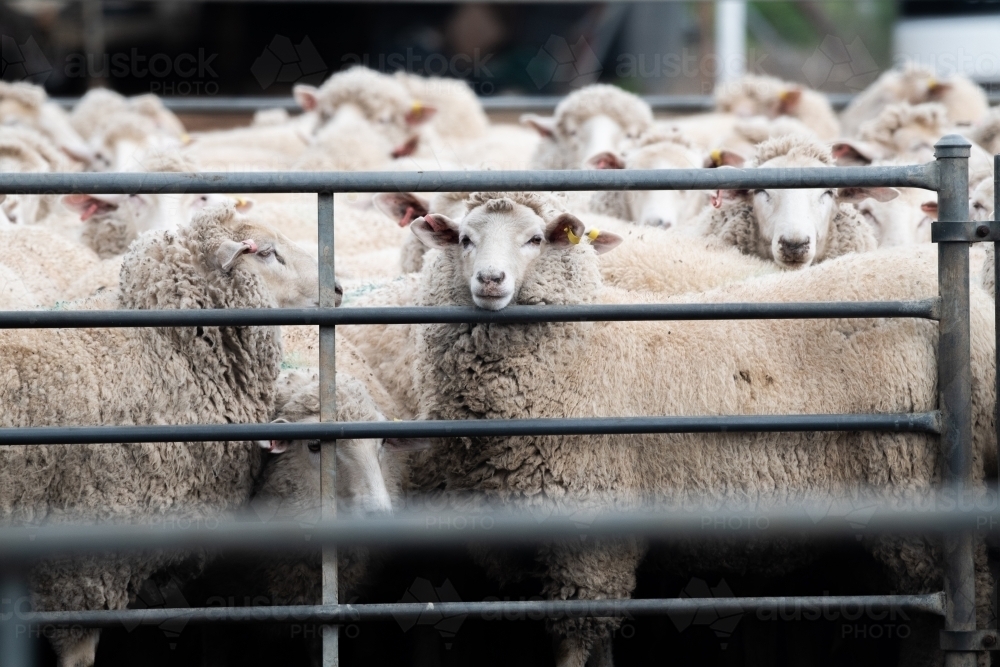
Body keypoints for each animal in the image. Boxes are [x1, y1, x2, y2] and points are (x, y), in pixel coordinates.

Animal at [407, 191, 995, 667]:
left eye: (534, 239)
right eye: (464, 239)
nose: (490, 280)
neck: (583, 341)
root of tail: (976, 310)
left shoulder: (588, 533)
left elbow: (577, 646)